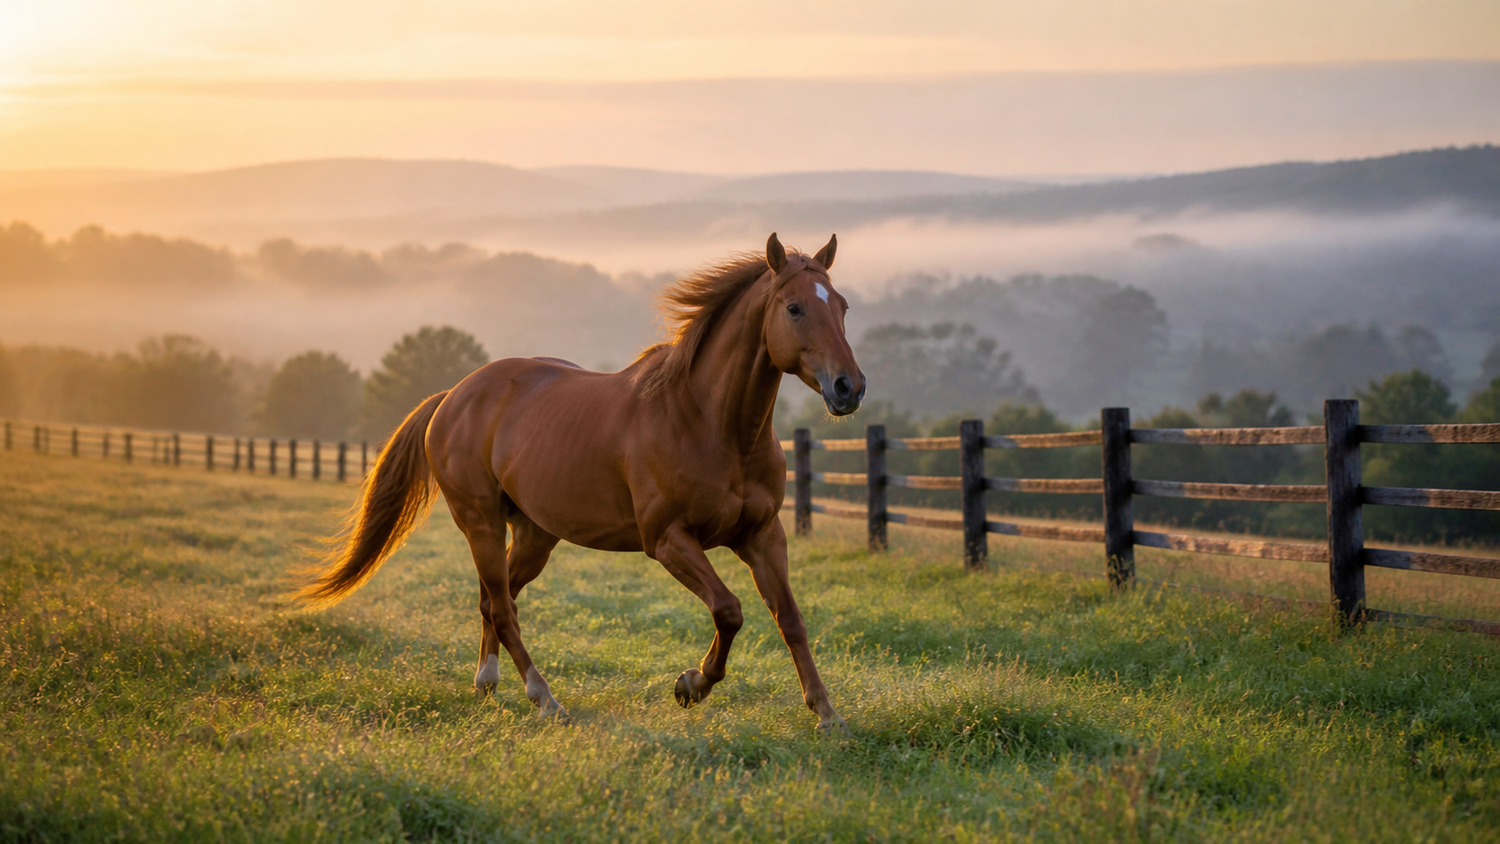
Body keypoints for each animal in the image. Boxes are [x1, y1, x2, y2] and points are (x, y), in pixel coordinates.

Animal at [299, 233, 865, 732]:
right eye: (794, 308)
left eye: (841, 306)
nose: (849, 387)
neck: (709, 422)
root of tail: (453, 396)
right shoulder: (668, 540)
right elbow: (729, 610)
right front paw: (691, 684)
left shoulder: (763, 537)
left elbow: (790, 619)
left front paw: (828, 715)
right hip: (481, 523)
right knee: (502, 607)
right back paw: (544, 699)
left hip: (534, 534)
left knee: (495, 599)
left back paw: (487, 682)